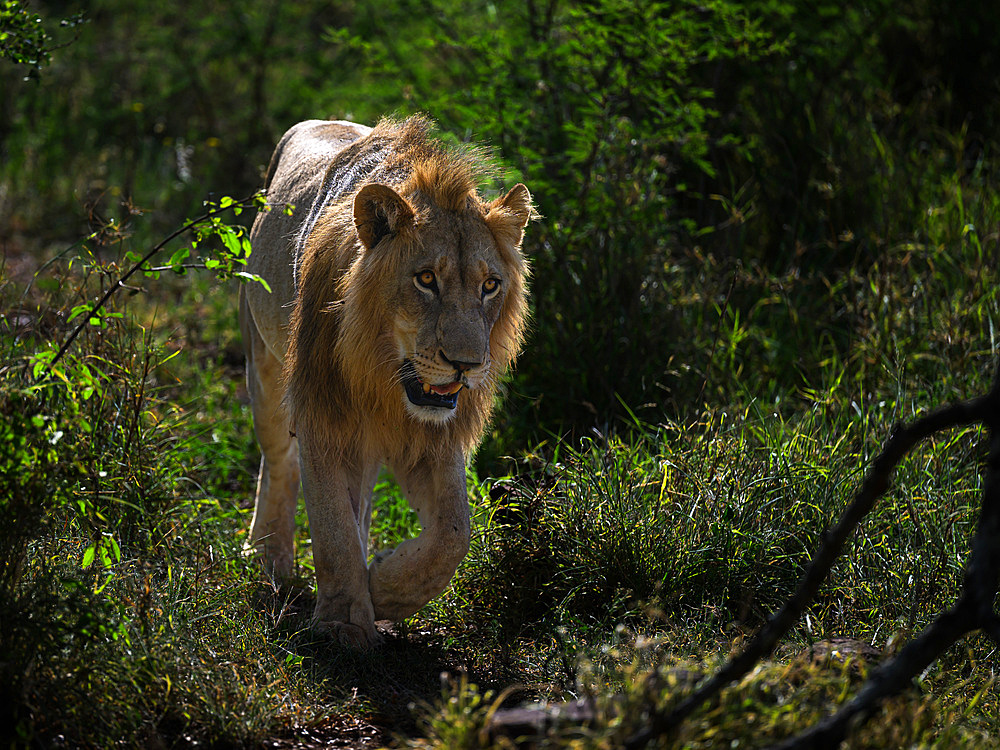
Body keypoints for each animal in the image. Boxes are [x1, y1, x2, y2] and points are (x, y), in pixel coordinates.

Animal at [237, 114, 532, 648]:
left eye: (490, 285)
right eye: (426, 279)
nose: (466, 364)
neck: (386, 381)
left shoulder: (435, 437)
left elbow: (453, 535)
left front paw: (384, 589)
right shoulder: (322, 418)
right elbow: (331, 526)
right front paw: (342, 625)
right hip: (262, 363)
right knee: (278, 462)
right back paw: (269, 556)